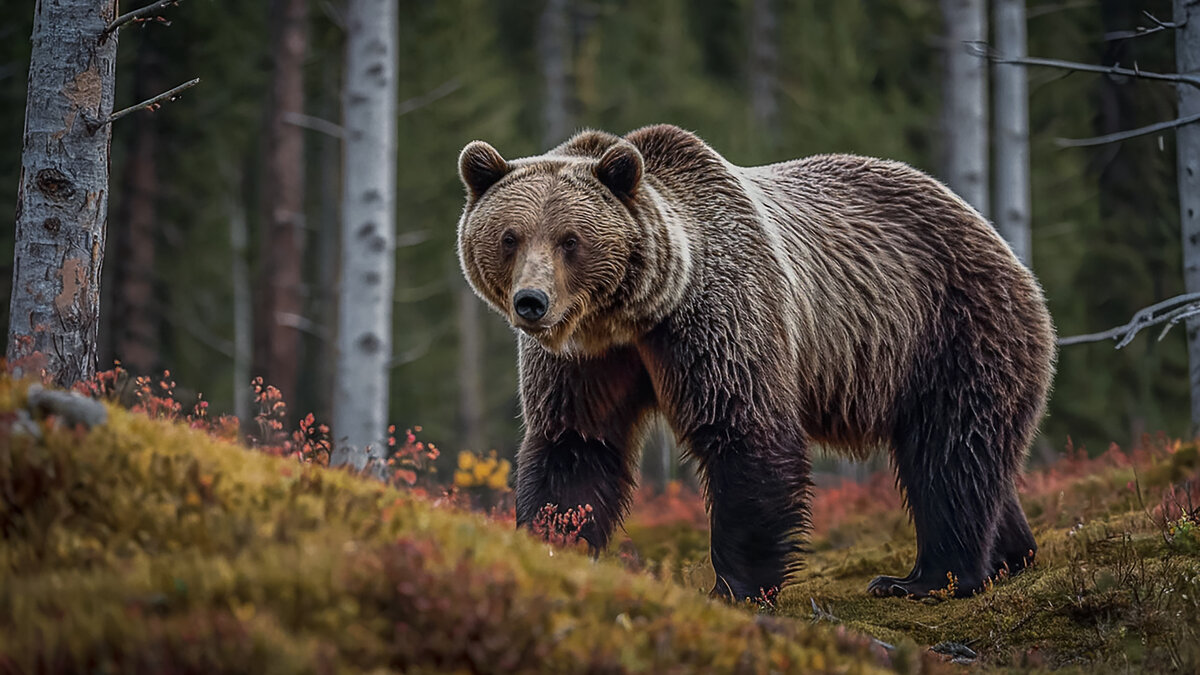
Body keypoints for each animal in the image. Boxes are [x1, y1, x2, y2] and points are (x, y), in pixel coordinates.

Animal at [453, 123, 1056, 595]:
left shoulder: (720, 317)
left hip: (953, 329)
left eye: (570, 239)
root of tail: (993, 233)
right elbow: (574, 448)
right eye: (509, 237)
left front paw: (737, 587)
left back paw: (927, 579)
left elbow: (745, 434)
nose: (532, 302)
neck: (635, 315)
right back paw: (1011, 555)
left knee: (950, 453)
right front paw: (553, 545)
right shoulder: (588, 362)